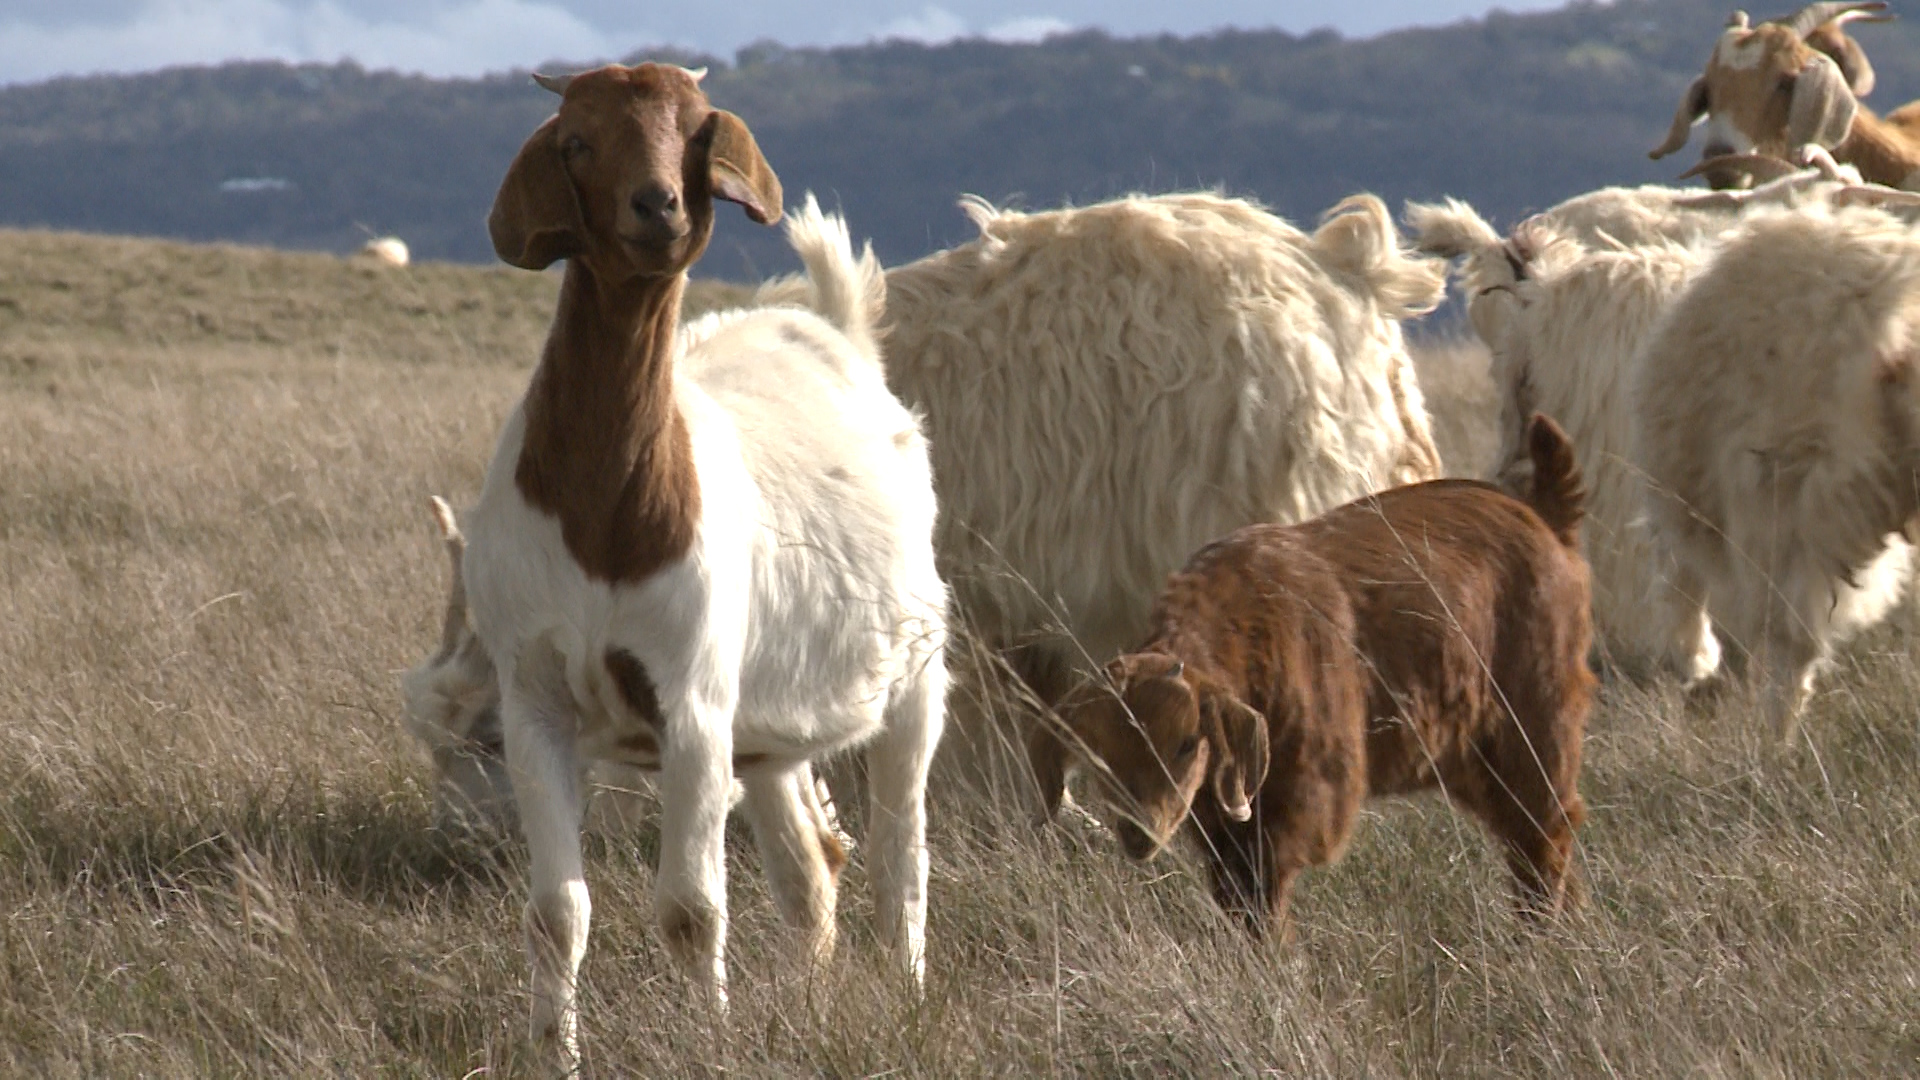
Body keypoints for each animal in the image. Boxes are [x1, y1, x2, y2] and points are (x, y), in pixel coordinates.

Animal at [462, 63, 947, 1063]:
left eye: (697, 132)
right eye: (576, 140)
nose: (659, 207)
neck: (602, 515)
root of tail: (841, 340)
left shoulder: (688, 696)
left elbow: (690, 910)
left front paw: (708, 1043)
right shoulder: (534, 696)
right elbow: (554, 914)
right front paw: (553, 1054)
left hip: (917, 670)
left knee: (900, 855)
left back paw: (909, 997)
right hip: (764, 727)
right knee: (812, 868)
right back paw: (811, 1004)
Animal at [1054, 415, 1595, 935]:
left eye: (1186, 743)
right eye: (1099, 750)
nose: (1137, 831)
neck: (1251, 628)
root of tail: (1544, 515)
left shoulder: (1306, 789)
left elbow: (1265, 878)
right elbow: (1233, 887)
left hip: (1536, 729)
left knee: (1545, 834)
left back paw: (1540, 935)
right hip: (1474, 756)